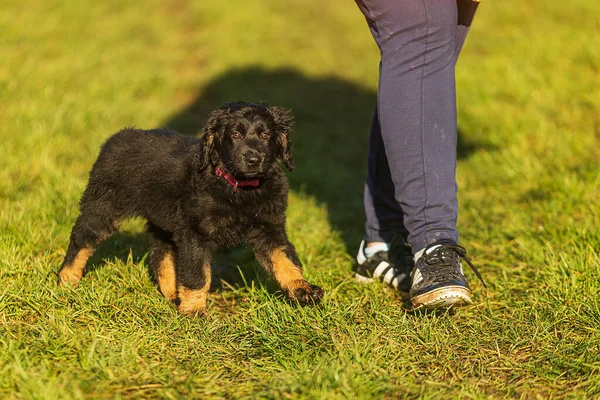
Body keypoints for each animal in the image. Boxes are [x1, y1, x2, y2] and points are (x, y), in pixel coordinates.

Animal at [57, 101, 324, 314]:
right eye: (235, 135)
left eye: (266, 135)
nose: (253, 159)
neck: (239, 188)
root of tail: (117, 137)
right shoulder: (196, 232)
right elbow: (197, 275)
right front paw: (193, 310)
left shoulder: (268, 227)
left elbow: (285, 259)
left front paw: (302, 289)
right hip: (104, 206)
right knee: (81, 241)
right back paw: (66, 280)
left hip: (164, 220)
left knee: (160, 254)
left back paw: (172, 294)